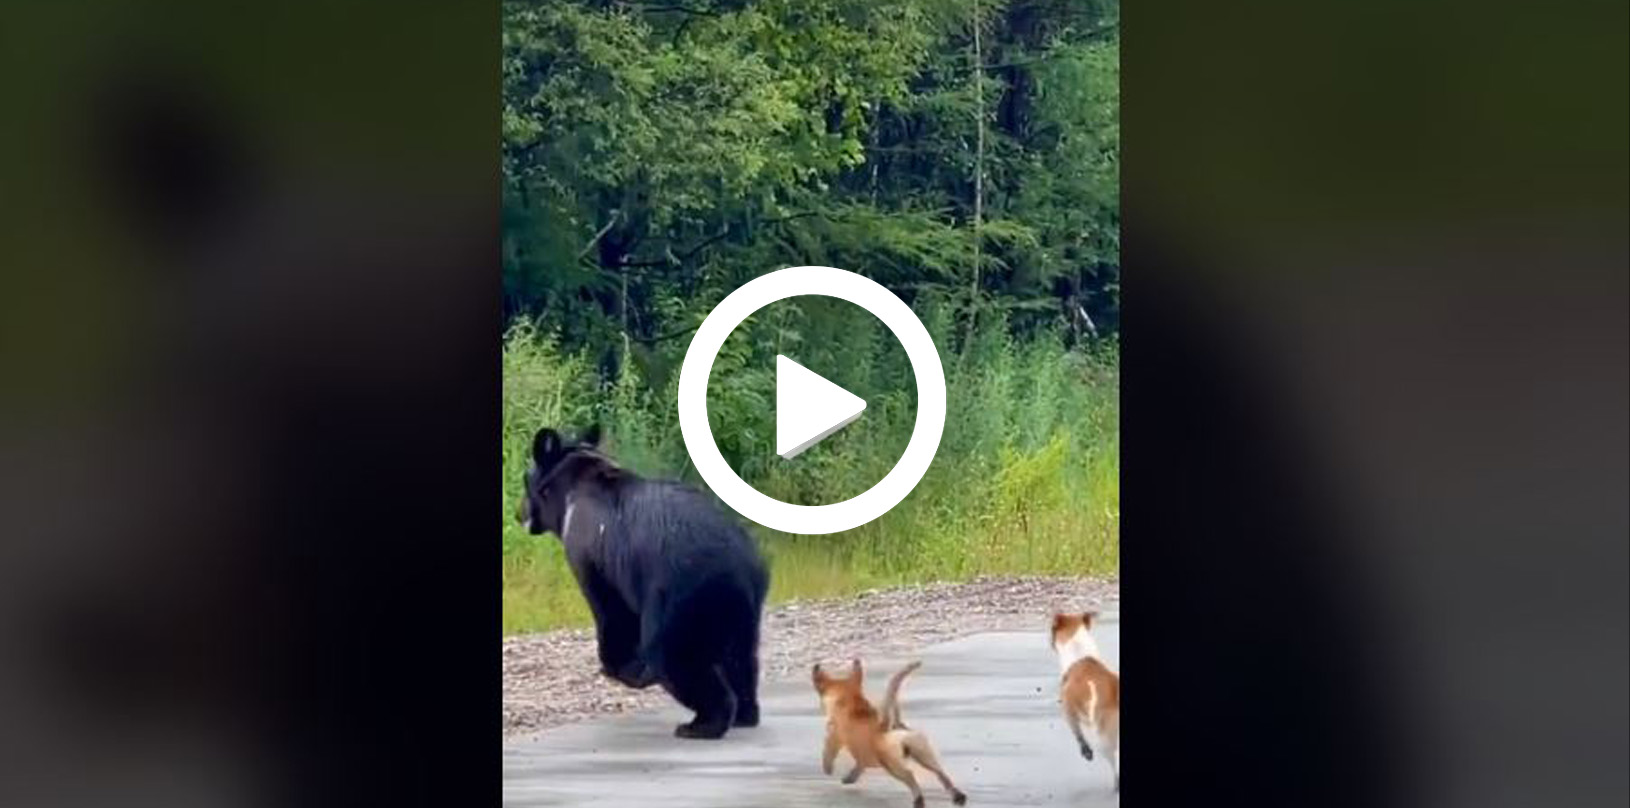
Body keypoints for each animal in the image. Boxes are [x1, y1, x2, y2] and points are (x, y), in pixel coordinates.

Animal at [521, 423, 775, 739]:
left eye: (524, 480)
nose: (519, 514)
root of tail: (736, 567)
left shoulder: (592, 553)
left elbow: (611, 610)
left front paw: (622, 668)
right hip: (745, 604)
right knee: (741, 658)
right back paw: (744, 714)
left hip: (678, 600)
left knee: (675, 657)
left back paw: (702, 723)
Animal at [811, 658, 964, 804]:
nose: (816, 667)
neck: (850, 699)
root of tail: (890, 727)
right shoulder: (861, 755)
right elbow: (859, 765)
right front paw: (850, 777)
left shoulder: (833, 736)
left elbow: (828, 753)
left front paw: (828, 769)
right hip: (923, 753)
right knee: (940, 772)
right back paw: (957, 796)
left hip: (892, 764)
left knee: (909, 776)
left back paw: (919, 799)